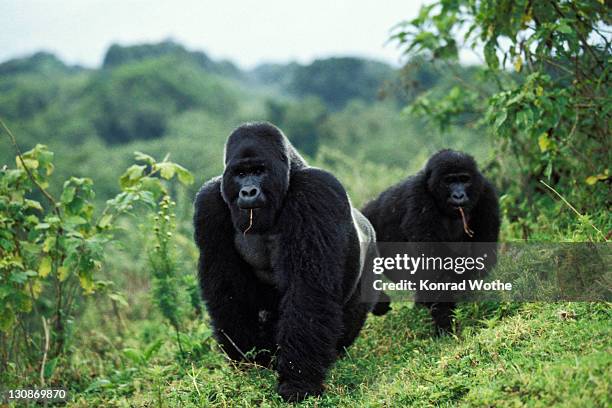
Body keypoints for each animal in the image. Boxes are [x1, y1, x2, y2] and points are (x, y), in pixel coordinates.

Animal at [194, 121, 382, 402]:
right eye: (240, 173)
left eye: (259, 171)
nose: (248, 191)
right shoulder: (208, 203)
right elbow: (226, 292)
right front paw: (250, 361)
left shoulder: (316, 191)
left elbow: (307, 291)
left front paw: (298, 382)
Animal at [360, 149, 500, 332]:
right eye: (449, 181)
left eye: (464, 179)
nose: (459, 195)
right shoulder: (418, 196)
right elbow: (432, 266)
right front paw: (445, 321)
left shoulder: (486, 192)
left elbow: (483, 254)